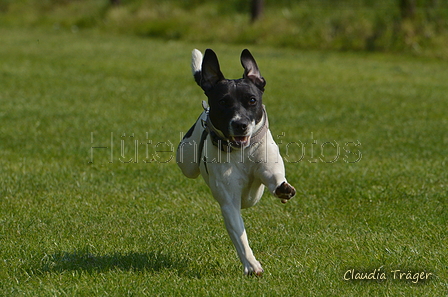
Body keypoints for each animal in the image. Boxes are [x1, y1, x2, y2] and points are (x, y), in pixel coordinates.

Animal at [177, 49, 296, 276]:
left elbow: (274, 177)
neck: (241, 151)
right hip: (185, 160)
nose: (240, 124)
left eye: (252, 100)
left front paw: (283, 188)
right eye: (223, 102)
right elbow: (240, 237)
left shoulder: (268, 166)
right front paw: (251, 264)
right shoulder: (229, 202)